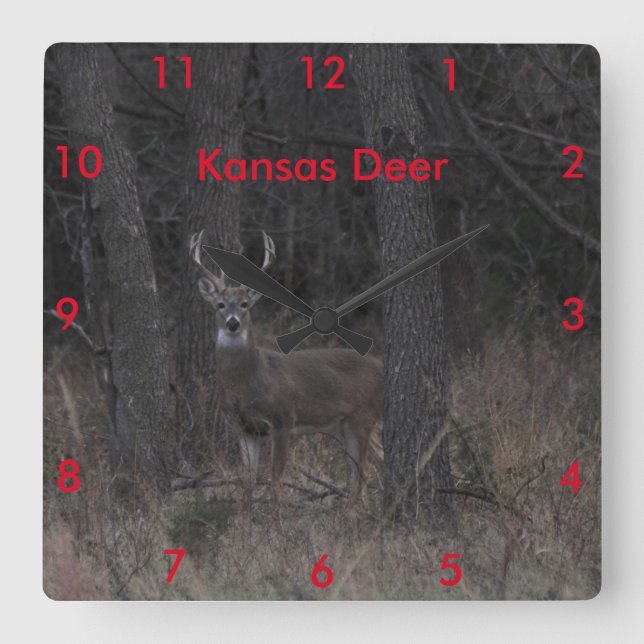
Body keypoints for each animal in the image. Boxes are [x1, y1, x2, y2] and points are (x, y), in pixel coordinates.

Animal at [189, 230, 383, 515]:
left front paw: (275, 522)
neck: (248, 384)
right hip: (343, 425)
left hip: (363, 417)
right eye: (220, 304)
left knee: (364, 470)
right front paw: (245, 520)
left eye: (245, 304)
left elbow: (275, 477)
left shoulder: (283, 419)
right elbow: (248, 479)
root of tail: (381, 368)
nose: (233, 323)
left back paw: (347, 514)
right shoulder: (243, 428)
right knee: (365, 465)